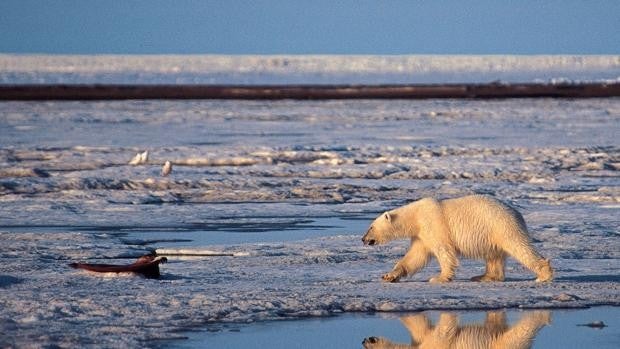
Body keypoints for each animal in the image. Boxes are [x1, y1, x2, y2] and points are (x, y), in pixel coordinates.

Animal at [360, 194, 556, 282]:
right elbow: (415, 257)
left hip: (501, 225)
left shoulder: (434, 225)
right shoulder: (421, 235)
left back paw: (543, 275)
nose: (363, 239)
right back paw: (483, 276)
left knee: (519, 247)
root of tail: (517, 213)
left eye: (370, 227)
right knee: (494, 255)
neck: (415, 216)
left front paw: (439, 278)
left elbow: (444, 251)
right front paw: (389, 275)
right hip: (492, 233)